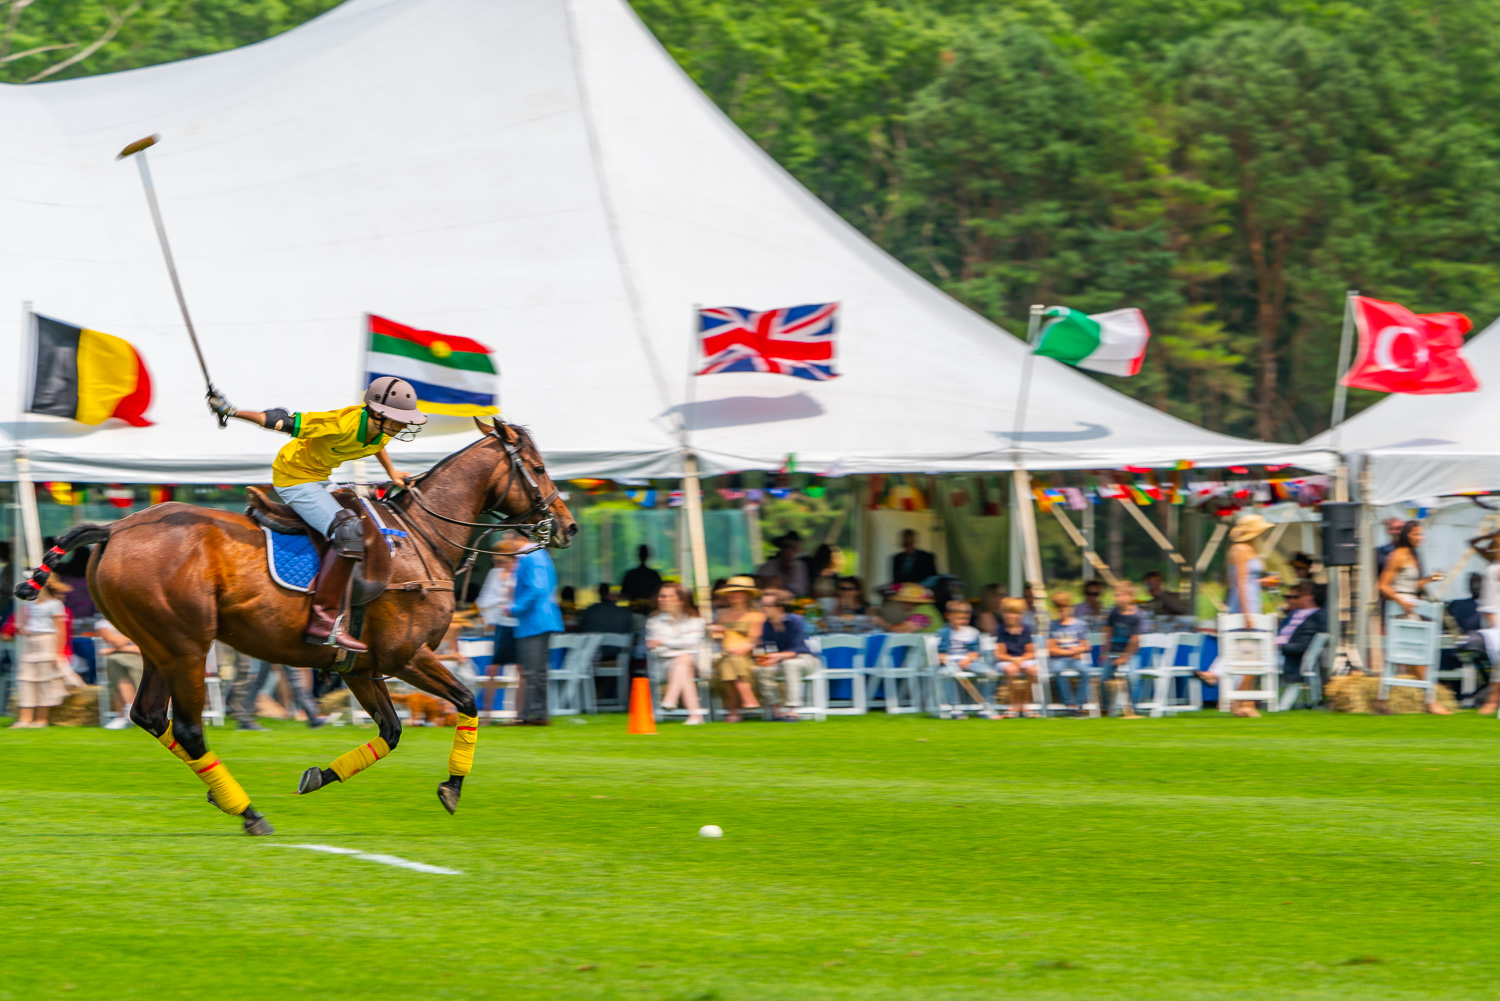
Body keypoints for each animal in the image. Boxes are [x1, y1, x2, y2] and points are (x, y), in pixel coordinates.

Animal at [17, 420, 579, 834]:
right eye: (537, 467)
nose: (569, 527)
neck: (423, 539)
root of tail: (115, 527)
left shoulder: (361, 668)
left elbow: (392, 731)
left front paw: (318, 776)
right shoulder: (406, 655)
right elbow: (467, 701)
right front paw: (452, 788)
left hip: (157, 646)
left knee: (151, 716)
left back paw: (221, 795)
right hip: (187, 647)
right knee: (190, 728)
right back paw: (247, 812)